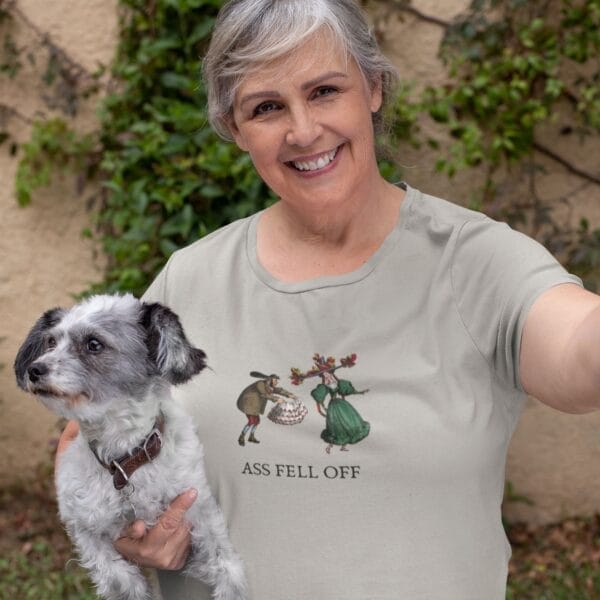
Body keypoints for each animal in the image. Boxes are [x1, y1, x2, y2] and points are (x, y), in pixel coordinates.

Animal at [15, 294, 246, 600]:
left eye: (94, 344)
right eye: (51, 342)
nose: (35, 369)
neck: (124, 460)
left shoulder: (198, 507)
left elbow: (225, 564)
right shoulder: (84, 527)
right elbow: (118, 578)